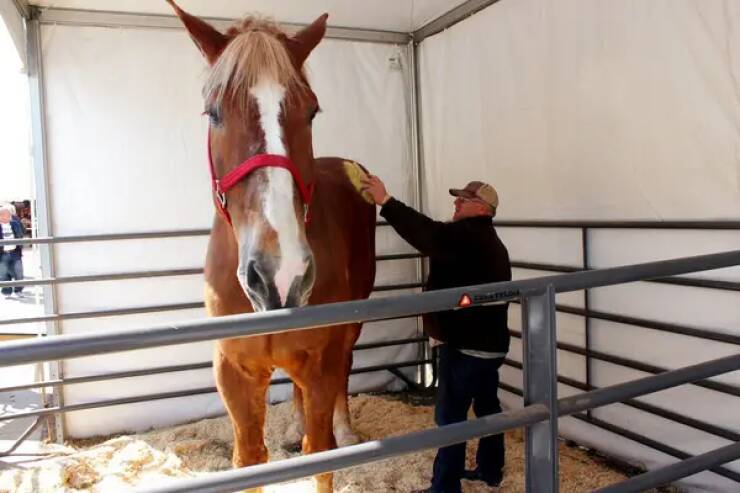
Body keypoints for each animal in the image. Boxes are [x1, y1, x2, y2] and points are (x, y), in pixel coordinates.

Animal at [168, 1, 376, 490]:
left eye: (312, 111)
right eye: (213, 113)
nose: (281, 276)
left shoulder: (321, 363)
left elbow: (320, 455)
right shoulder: (235, 374)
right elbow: (249, 460)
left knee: (346, 368)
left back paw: (345, 427)